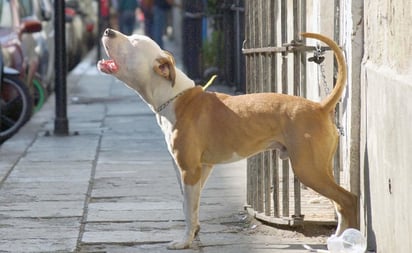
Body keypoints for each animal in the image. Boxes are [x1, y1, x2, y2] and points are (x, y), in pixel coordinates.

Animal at [96, 29, 358, 249]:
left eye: (133, 42)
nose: (108, 31)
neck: (175, 98)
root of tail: (319, 107)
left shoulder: (189, 170)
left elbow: (187, 208)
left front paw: (184, 242)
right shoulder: (202, 169)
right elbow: (190, 206)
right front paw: (194, 232)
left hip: (308, 169)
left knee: (349, 200)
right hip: (321, 168)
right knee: (340, 204)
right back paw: (337, 238)